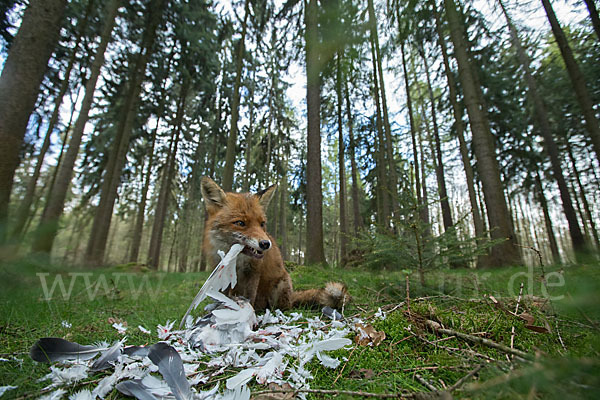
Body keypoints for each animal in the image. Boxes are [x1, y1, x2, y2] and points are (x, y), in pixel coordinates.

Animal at [200, 177, 346, 310]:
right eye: (240, 223)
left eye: (262, 224)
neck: (236, 260)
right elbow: (221, 294)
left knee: (281, 306)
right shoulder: (220, 272)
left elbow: (249, 297)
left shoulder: (254, 271)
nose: (266, 244)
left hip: (280, 287)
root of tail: (291, 298)